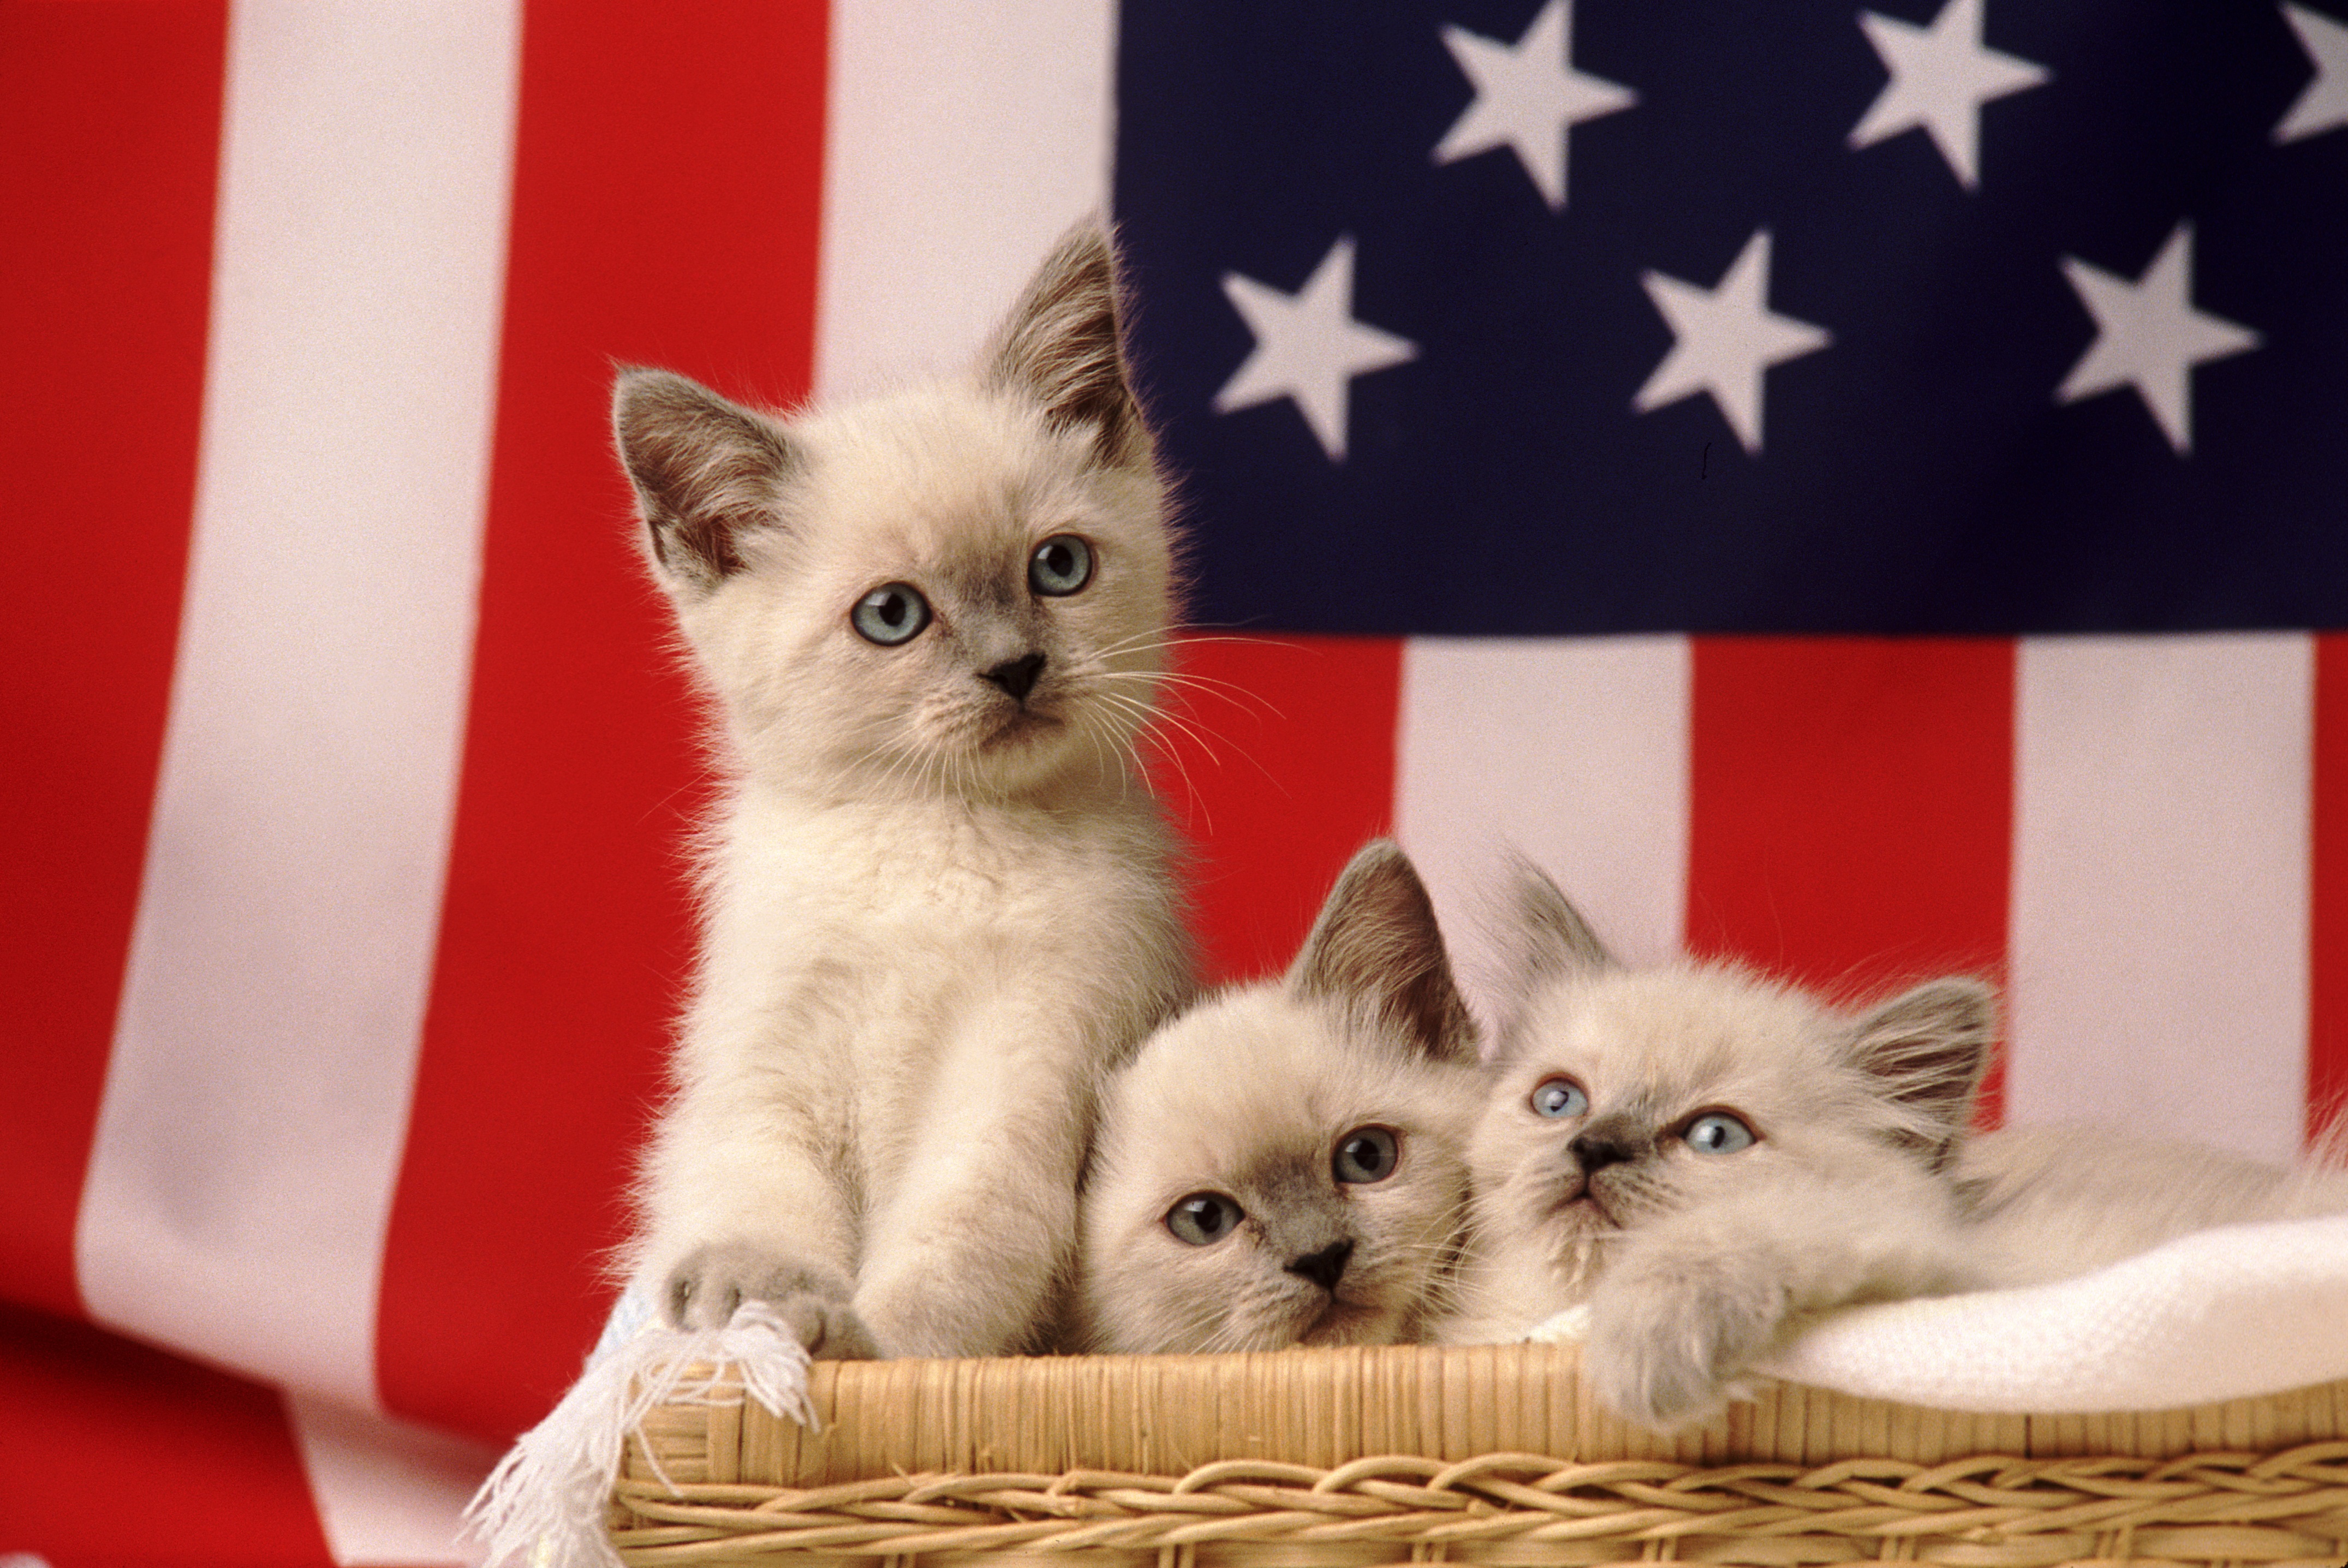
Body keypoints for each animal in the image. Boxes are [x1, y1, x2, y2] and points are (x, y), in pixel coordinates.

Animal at [615, 220, 1193, 1361]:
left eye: (1059, 566)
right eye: (891, 616)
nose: (1015, 668)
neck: (934, 836)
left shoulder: (1033, 1048)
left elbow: (962, 1235)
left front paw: (859, 1340)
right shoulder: (762, 1063)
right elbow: (755, 1190)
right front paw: (754, 1298)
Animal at [1446, 859, 2348, 1436]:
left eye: (1714, 1135)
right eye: (1559, 1100)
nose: (1593, 1147)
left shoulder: (1961, 1277)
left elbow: (1731, 1234)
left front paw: (1643, 1365)